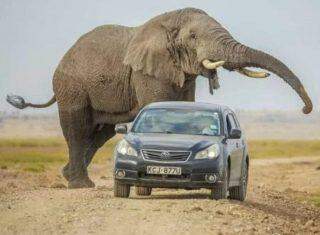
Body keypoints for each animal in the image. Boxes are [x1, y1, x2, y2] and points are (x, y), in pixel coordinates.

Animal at [6, 7, 312, 189]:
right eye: (193, 36)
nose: (306, 110)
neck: (170, 21)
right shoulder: (147, 71)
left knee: (100, 134)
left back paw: (69, 176)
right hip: (71, 86)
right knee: (77, 129)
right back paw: (81, 185)